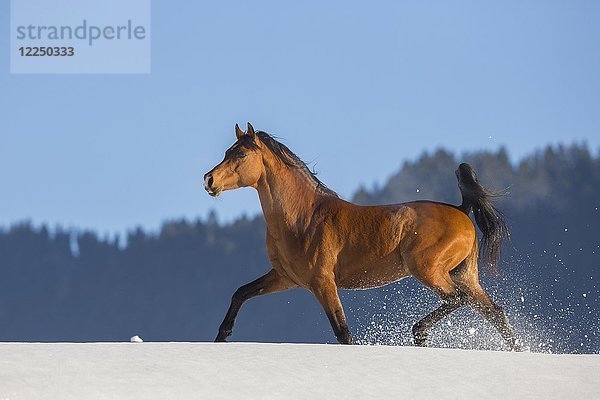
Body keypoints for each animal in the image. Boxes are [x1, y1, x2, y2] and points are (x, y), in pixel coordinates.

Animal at [204, 122, 524, 350]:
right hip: (464, 275)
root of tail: (461, 210)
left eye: (241, 154)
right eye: (226, 152)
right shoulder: (286, 278)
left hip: (429, 270)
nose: (209, 180)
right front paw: (221, 337)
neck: (302, 218)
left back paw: (419, 333)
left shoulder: (323, 283)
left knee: (457, 299)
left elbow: (343, 333)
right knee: (495, 313)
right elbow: (241, 292)